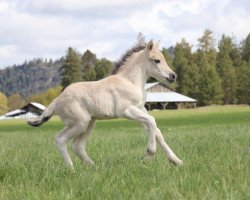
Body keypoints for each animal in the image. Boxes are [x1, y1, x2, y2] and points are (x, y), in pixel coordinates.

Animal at [27, 39, 184, 170]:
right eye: (156, 60)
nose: (173, 76)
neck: (130, 81)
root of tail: (57, 100)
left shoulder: (140, 109)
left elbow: (157, 131)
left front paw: (176, 161)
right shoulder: (127, 111)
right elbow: (152, 122)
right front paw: (148, 156)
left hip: (89, 123)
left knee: (77, 145)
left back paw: (93, 167)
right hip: (80, 123)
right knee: (60, 140)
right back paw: (72, 170)